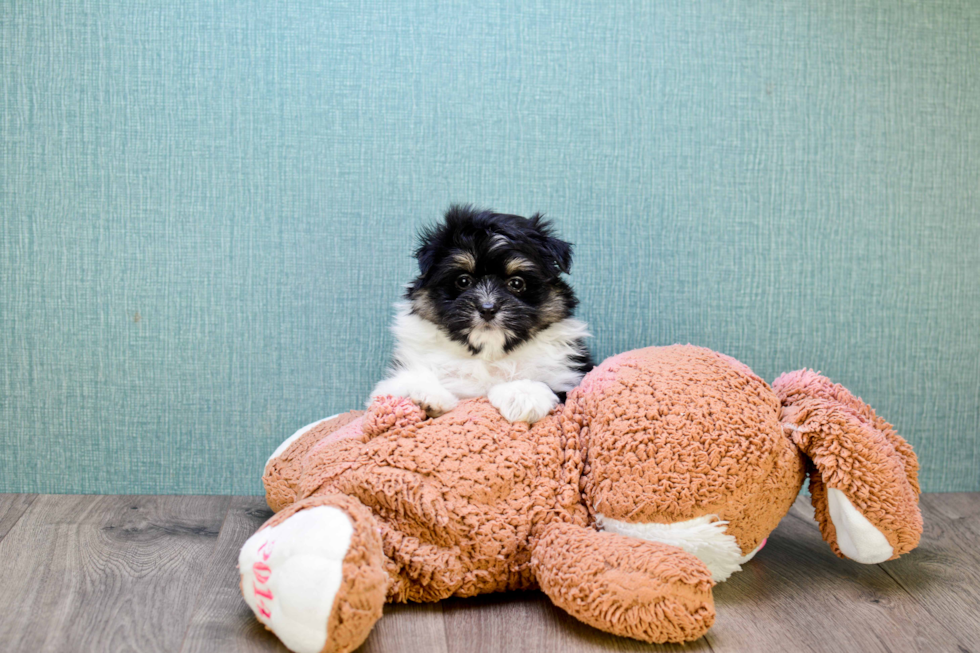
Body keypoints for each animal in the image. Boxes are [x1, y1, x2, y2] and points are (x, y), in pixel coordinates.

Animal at [372, 204, 592, 422]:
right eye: (463, 281)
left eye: (517, 283)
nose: (487, 309)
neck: (488, 355)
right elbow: (401, 382)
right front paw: (427, 395)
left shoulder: (569, 379)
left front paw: (522, 394)